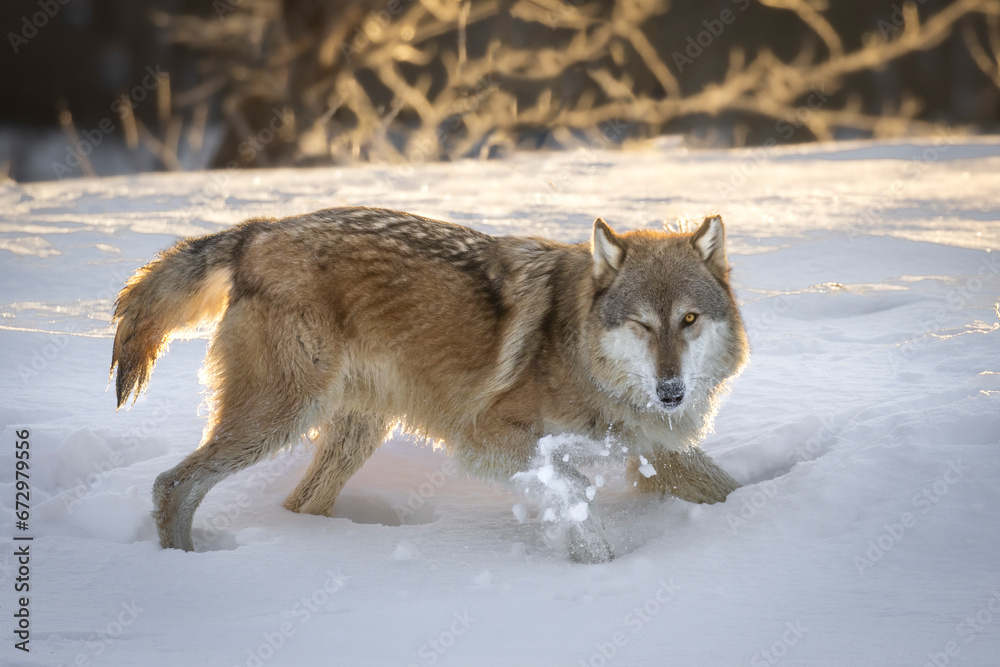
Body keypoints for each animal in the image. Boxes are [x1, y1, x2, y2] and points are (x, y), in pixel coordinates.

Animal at [111, 206, 749, 562]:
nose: (671, 393)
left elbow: (729, 489)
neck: (576, 352)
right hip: (279, 419)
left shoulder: (658, 450)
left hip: (354, 431)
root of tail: (257, 232)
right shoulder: (484, 436)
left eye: (689, 319)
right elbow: (568, 487)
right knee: (172, 485)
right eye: (642, 324)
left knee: (297, 503)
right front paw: (600, 563)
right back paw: (187, 571)